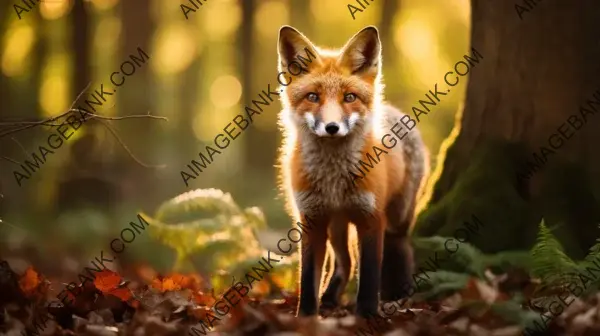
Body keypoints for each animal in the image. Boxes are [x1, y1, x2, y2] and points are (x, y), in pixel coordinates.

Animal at [276, 24, 426, 318]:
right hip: (336, 225)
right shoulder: (311, 218)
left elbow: (369, 273)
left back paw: (401, 295)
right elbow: (308, 277)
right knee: (345, 262)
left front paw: (367, 314)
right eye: (313, 97)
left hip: (396, 217)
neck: (333, 179)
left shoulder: (371, 217)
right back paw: (330, 297)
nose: (332, 127)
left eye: (349, 98)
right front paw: (306, 316)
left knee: (400, 247)